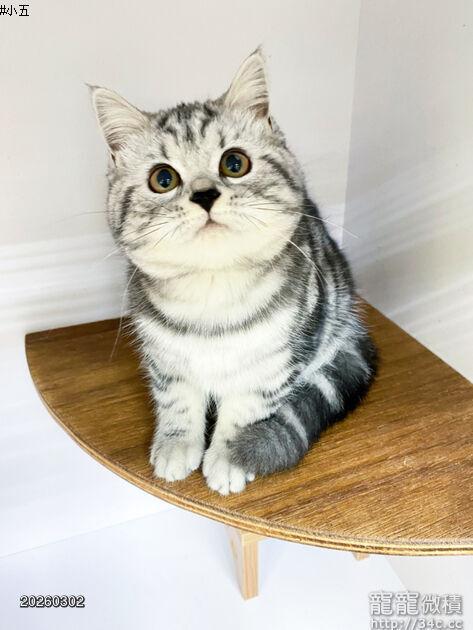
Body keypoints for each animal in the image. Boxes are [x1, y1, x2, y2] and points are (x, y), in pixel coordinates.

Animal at [90, 48, 377, 495]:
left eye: (235, 163)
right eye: (163, 178)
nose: (205, 194)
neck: (213, 295)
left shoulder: (273, 363)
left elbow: (244, 410)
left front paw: (228, 457)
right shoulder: (164, 358)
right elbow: (177, 401)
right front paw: (176, 446)